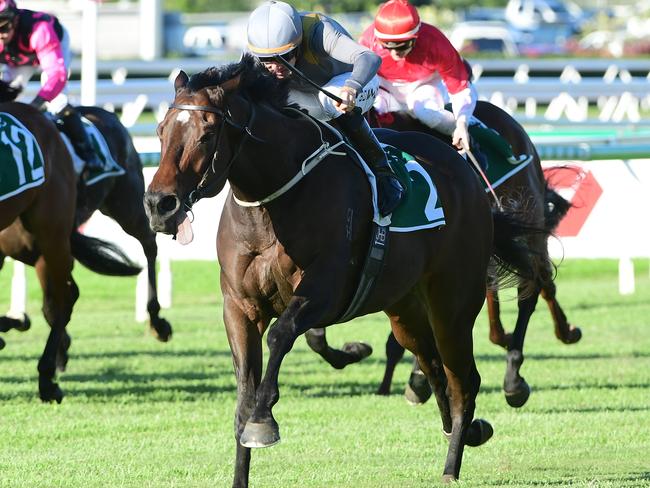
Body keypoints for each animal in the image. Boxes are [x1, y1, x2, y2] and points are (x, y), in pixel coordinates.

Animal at [146, 55, 540, 486]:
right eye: (161, 130)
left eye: (206, 134)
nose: (159, 204)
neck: (273, 200)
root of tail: (466, 171)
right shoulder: (239, 306)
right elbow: (244, 392)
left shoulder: (325, 290)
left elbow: (282, 335)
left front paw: (264, 421)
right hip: (405, 309)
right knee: (433, 367)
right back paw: (465, 429)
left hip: (452, 303)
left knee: (463, 380)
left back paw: (453, 463)